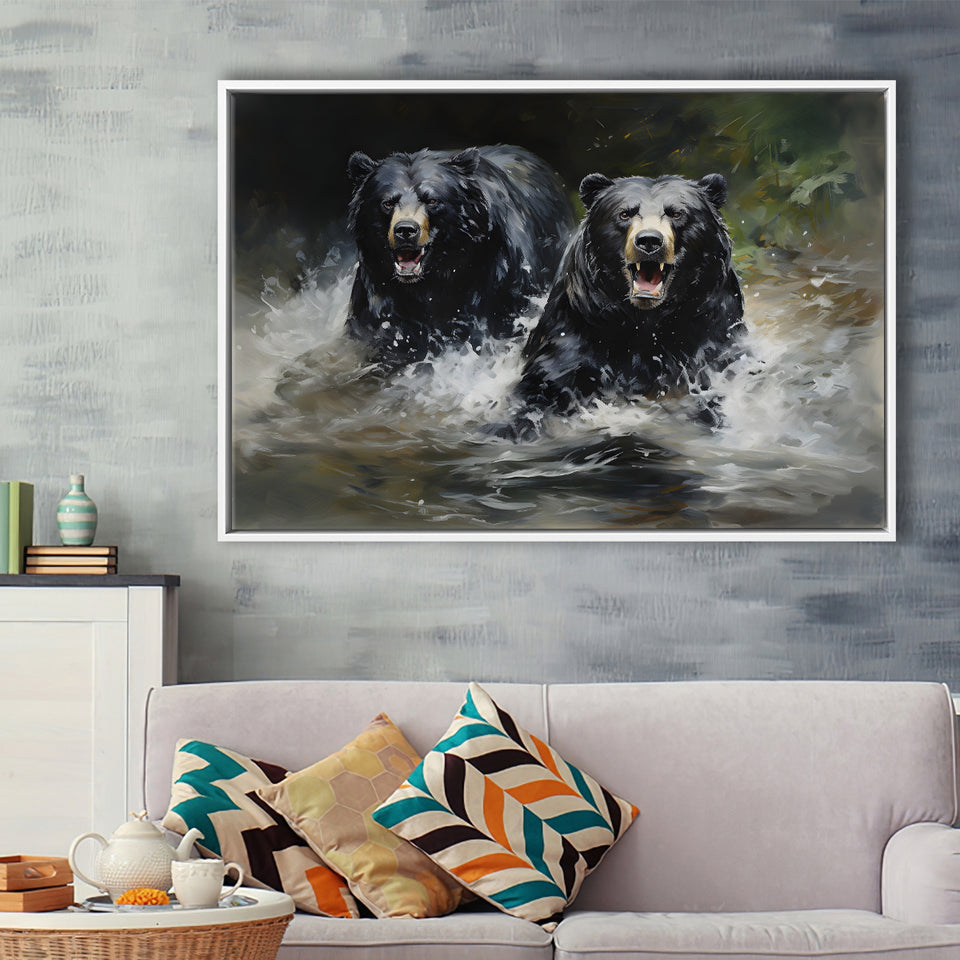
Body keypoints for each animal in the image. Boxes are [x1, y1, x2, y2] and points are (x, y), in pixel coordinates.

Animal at [502, 171, 746, 439]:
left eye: (676, 213)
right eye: (625, 213)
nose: (649, 241)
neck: (645, 321)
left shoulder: (711, 332)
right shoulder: (577, 333)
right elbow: (546, 382)